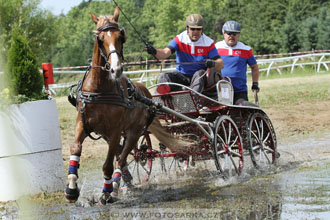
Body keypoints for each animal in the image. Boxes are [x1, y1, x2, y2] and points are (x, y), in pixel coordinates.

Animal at [62, 6, 179, 205]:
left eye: (120, 37)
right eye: (100, 38)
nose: (116, 69)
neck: (99, 89)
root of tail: (146, 93)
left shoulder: (115, 131)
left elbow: (108, 165)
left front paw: (106, 193)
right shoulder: (82, 124)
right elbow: (75, 148)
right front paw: (71, 189)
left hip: (133, 132)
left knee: (122, 158)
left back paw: (115, 187)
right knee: (124, 157)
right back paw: (126, 180)